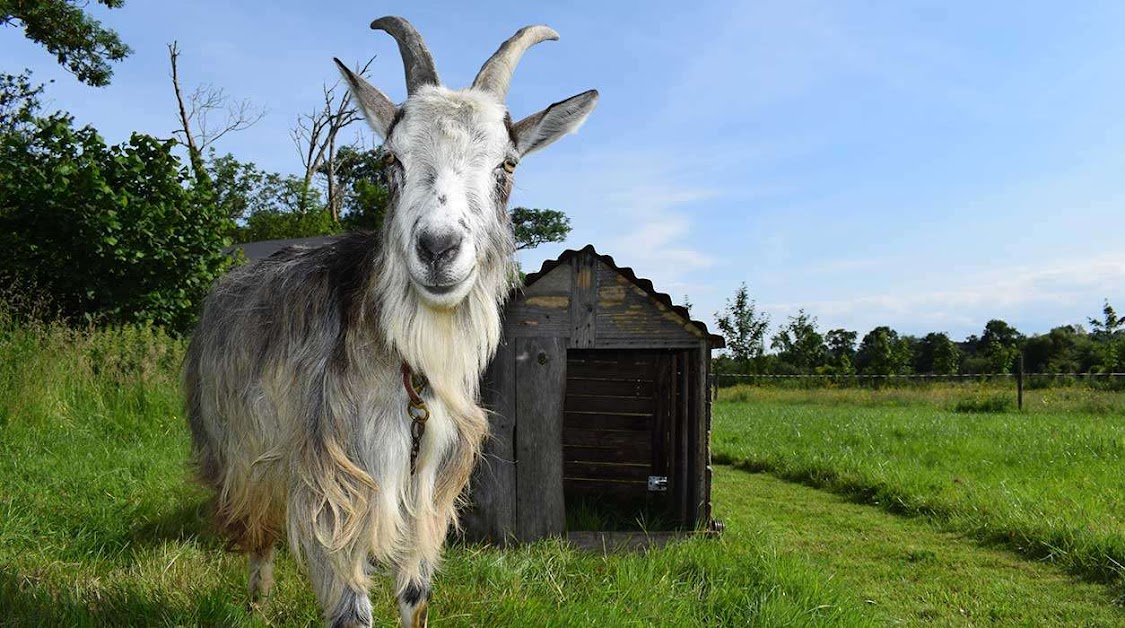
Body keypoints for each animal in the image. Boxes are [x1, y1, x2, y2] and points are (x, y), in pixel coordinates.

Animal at [182, 16, 598, 628]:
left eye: (507, 165)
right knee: (257, 525)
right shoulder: (337, 484)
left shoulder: (428, 485)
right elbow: (350, 604)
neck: (411, 379)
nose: (438, 248)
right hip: (239, 446)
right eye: (391, 162)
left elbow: (415, 591)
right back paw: (257, 601)